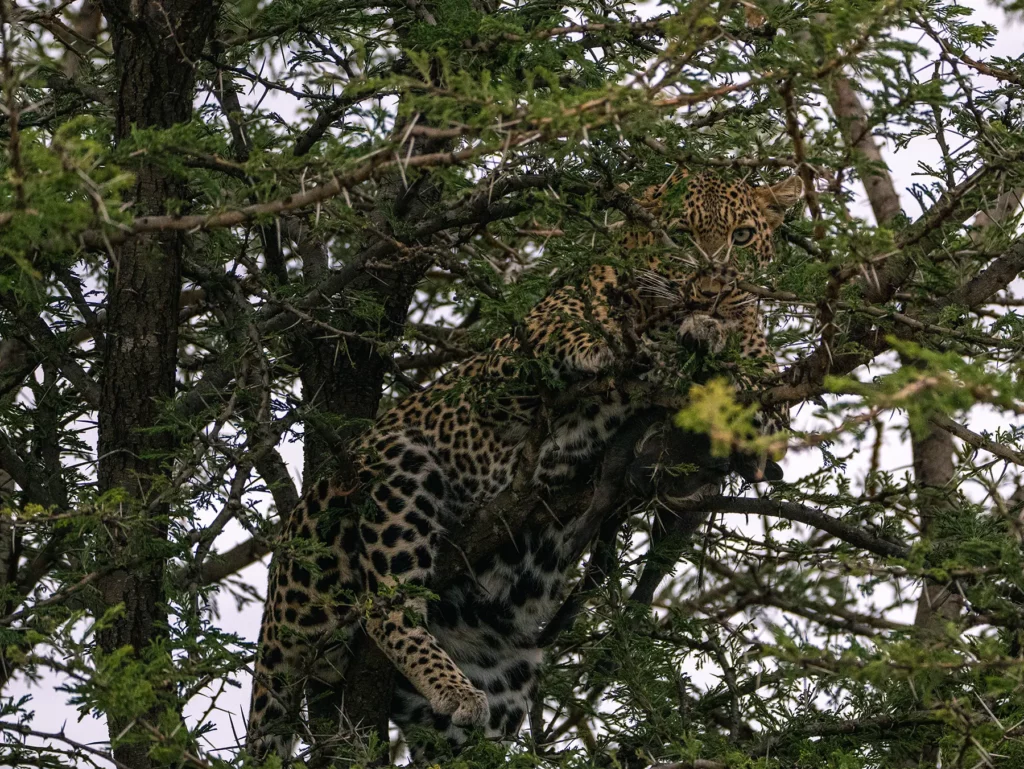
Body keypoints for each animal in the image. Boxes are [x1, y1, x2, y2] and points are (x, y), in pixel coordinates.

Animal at [245, 170, 803, 761]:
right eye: (677, 235)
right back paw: (449, 685)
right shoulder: (502, 368)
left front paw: (714, 336)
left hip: (500, 683)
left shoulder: (767, 417)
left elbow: (752, 394)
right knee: (384, 606)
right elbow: (578, 335)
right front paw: (645, 341)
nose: (711, 287)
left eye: (743, 237)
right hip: (393, 466)